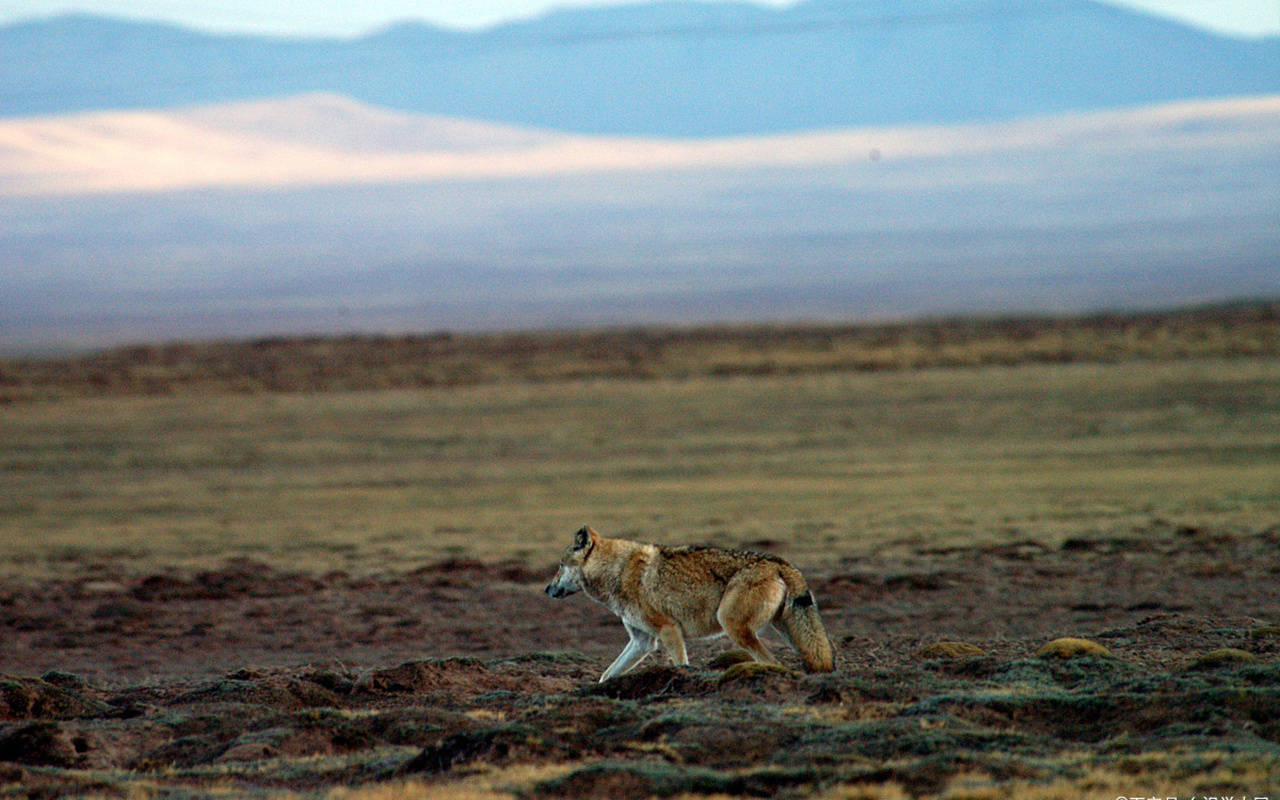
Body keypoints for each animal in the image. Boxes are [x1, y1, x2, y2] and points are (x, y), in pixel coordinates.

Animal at [542, 524, 834, 680]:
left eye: (559, 566)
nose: (546, 589)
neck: (617, 571)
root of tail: (781, 563)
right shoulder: (642, 641)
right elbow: (607, 675)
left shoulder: (669, 631)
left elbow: (681, 665)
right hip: (785, 632)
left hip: (732, 626)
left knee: (773, 661)